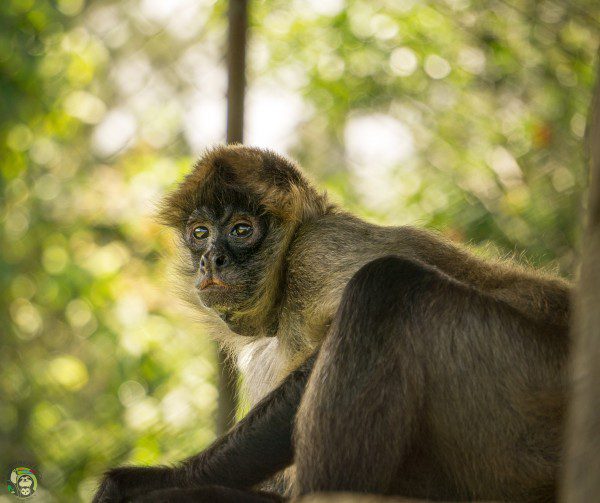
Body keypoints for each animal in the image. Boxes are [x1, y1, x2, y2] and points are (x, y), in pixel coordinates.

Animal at [91, 144, 568, 502]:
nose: (211, 259)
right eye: (200, 233)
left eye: (242, 230)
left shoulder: (319, 248)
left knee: (386, 284)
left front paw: (158, 482)